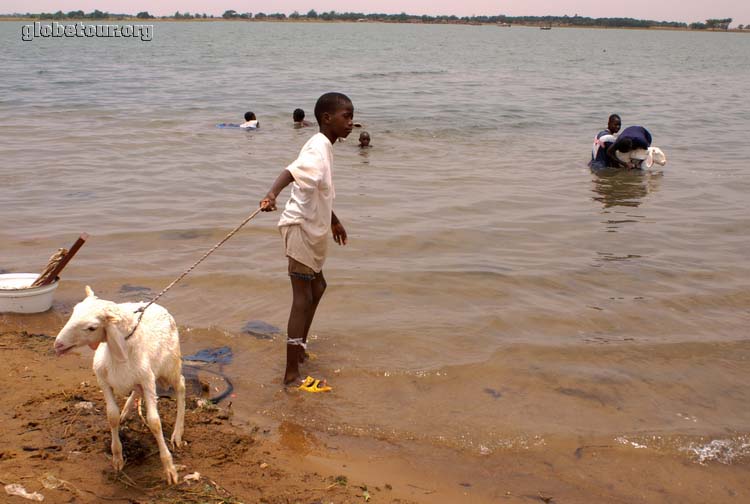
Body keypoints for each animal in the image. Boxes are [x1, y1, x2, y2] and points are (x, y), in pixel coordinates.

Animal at [54, 286, 185, 482]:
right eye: (74, 312)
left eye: (92, 328)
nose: (58, 345)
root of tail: (159, 307)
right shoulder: (104, 381)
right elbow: (112, 416)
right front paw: (117, 458)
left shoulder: (148, 380)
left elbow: (154, 422)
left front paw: (169, 468)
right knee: (136, 391)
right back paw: (126, 412)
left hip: (170, 366)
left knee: (181, 386)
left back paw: (177, 433)